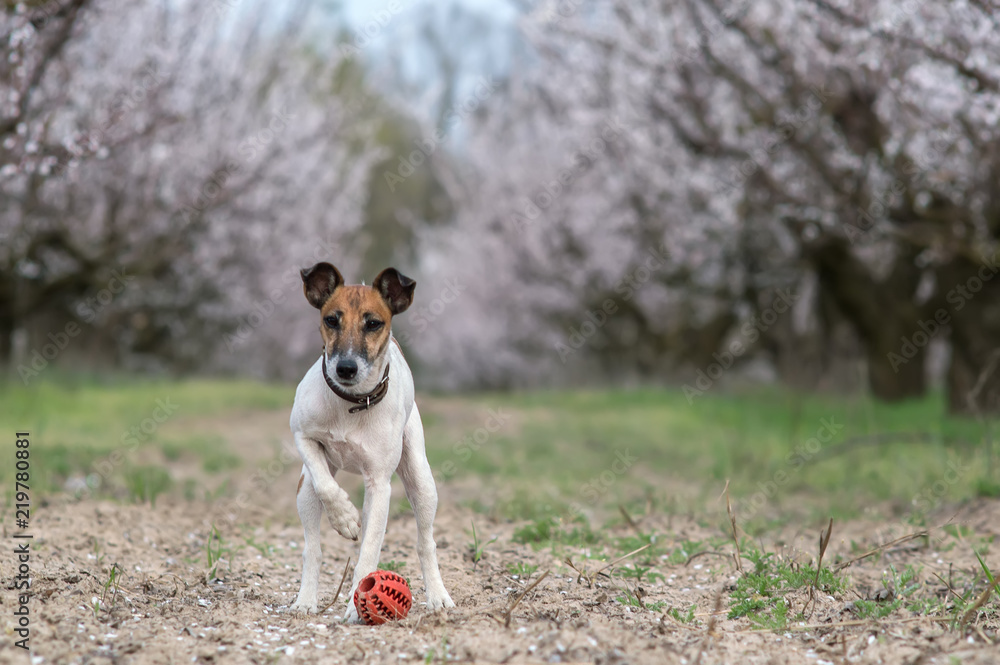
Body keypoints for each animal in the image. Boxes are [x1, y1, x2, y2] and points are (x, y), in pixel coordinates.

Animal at [288, 262, 456, 620]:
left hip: (421, 480)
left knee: (425, 542)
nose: (346, 368)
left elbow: (368, 552)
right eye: (331, 320)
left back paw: (438, 596)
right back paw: (306, 599)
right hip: (304, 491)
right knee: (313, 547)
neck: (351, 403)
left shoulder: (379, 484)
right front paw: (345, 518)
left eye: (374, 323)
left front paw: (356, 607)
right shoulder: (302, 436)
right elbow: (327, 486)